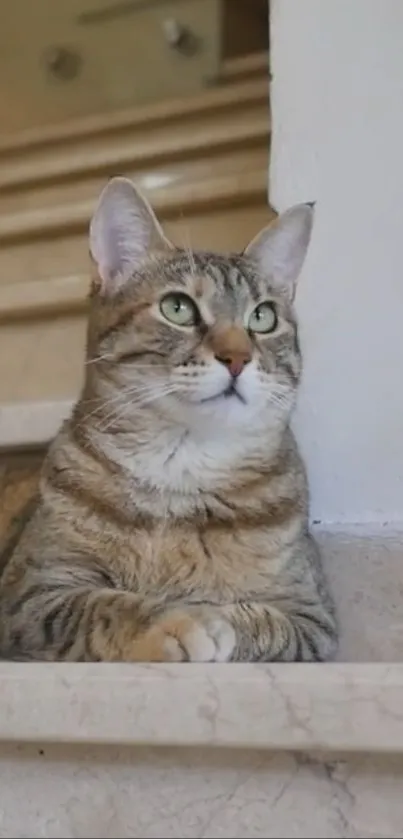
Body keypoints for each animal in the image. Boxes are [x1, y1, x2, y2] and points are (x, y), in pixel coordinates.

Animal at [0, 177, 338, 664]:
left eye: (263, 317)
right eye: (178, 308)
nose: (238, 357)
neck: (182, 472)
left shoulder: (312, 618)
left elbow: (259, 622)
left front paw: (213, 617)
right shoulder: (31, 592)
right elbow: (102, 606)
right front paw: (179, 620)